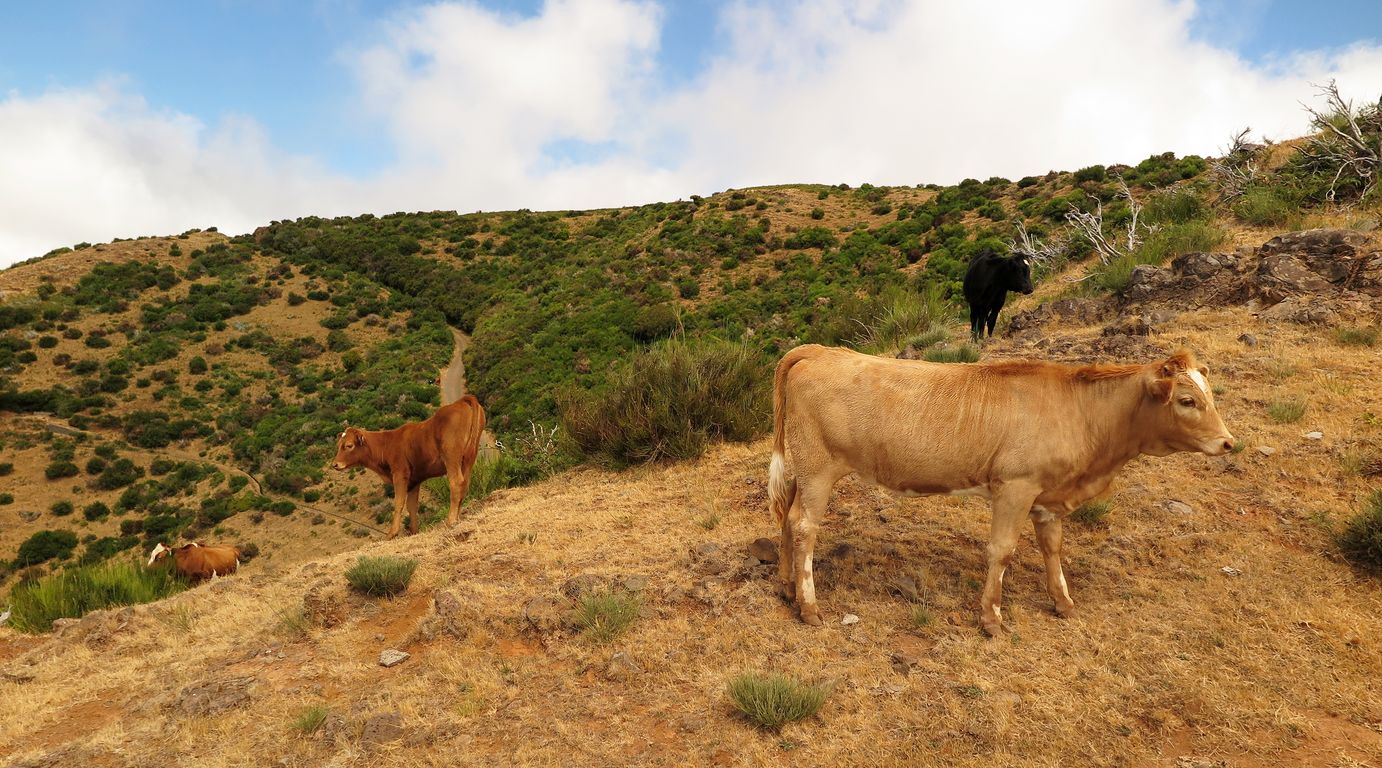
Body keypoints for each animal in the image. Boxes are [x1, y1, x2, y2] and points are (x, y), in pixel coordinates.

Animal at [328, 392, 486, 535]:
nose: (335, 464)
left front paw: (392, 533)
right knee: (465, 485)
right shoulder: (414, 481)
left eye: (349, 445)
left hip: (451, 456)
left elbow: (398, 503)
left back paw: (451, 520)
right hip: (468, 458)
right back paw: (457, 518)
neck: (387, 444)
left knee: (456, 483)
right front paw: (414, 531)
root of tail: (461, 401)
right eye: (339, 445)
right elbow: (412, 506)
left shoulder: (400, 473)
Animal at [773, 346, 1238, 635]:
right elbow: (1002, 550)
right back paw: (810, 607)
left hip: (803, 468)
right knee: (805, 526)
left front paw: (1063, 603)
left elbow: (1052, 548)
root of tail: (819, 351)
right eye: (1187, 401)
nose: (1228, 442)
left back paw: (787, 587)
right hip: (819, 467)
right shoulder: (1016, 486)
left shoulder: (1049, 499)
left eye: (1210, 396)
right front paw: (991, 617)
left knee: (787, 516)